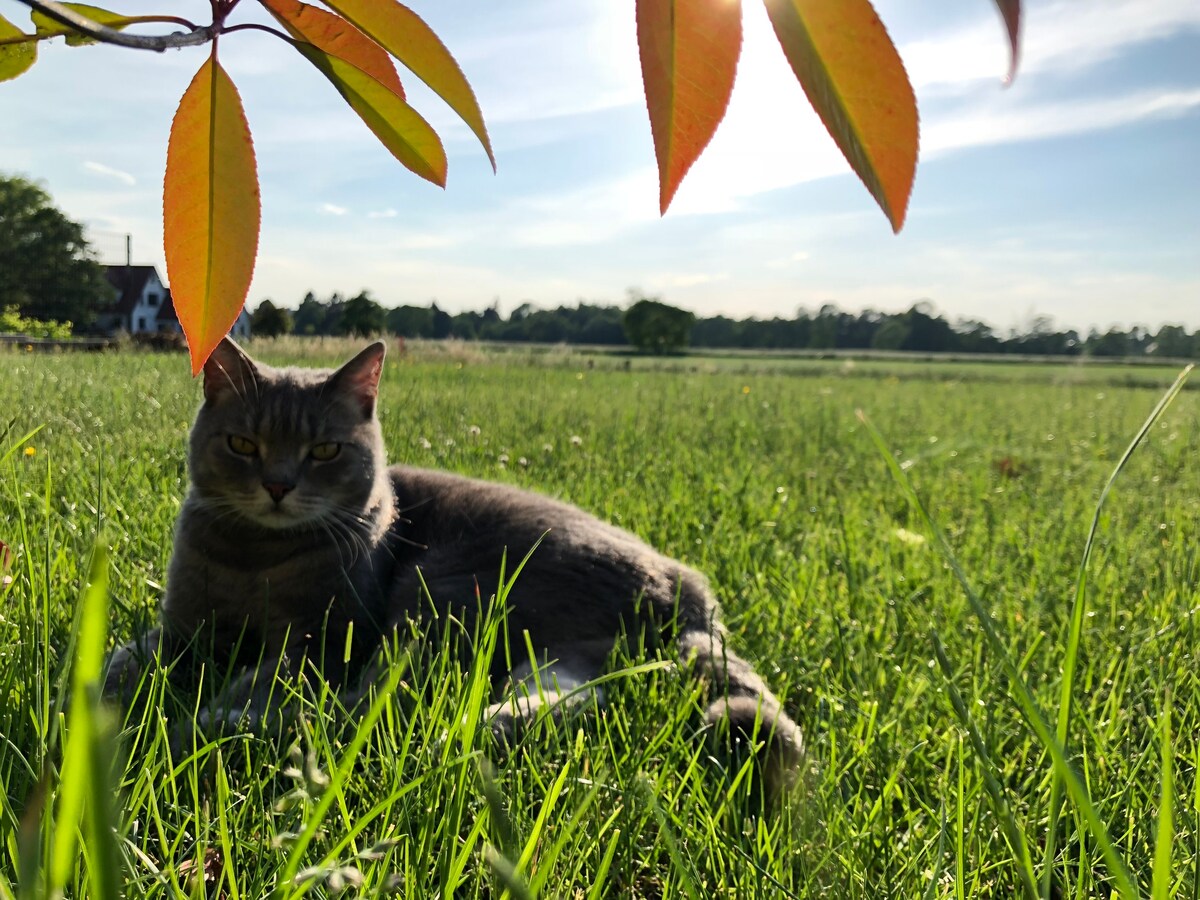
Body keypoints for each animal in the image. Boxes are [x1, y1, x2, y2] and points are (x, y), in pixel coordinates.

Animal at [105, 338, 806, 796]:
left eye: (325, 450)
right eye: (242, 444)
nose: (277, 486)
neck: (255, 557)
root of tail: (689, 589)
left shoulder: (324, 639)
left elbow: (271, 675)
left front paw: (201, 713)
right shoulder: (183, 628)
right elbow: (126, 656)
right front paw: (103, 705)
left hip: (439, 589)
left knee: (371, 705)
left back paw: (234, 732)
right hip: (555, 646)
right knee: (571, 697)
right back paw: (477, 736)